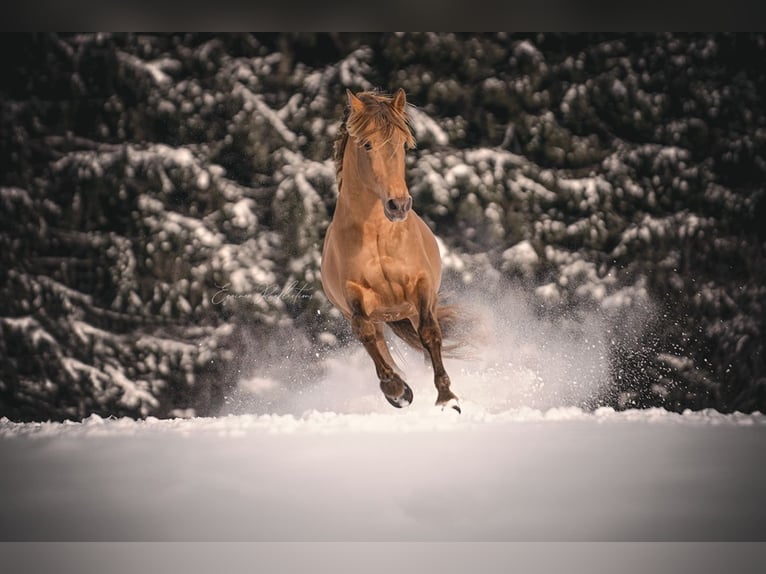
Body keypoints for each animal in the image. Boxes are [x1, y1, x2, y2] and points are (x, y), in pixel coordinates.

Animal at [320, 89, 462, 414]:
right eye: (367, 144)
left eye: (403, 143)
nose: (398, 205)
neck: (378, 235)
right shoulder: (355, 297)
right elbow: (366, 333)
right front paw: (397, 391)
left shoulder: (421, 287)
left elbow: (430, 333)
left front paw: (447, 398)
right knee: (376, 341)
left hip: (411, 309)